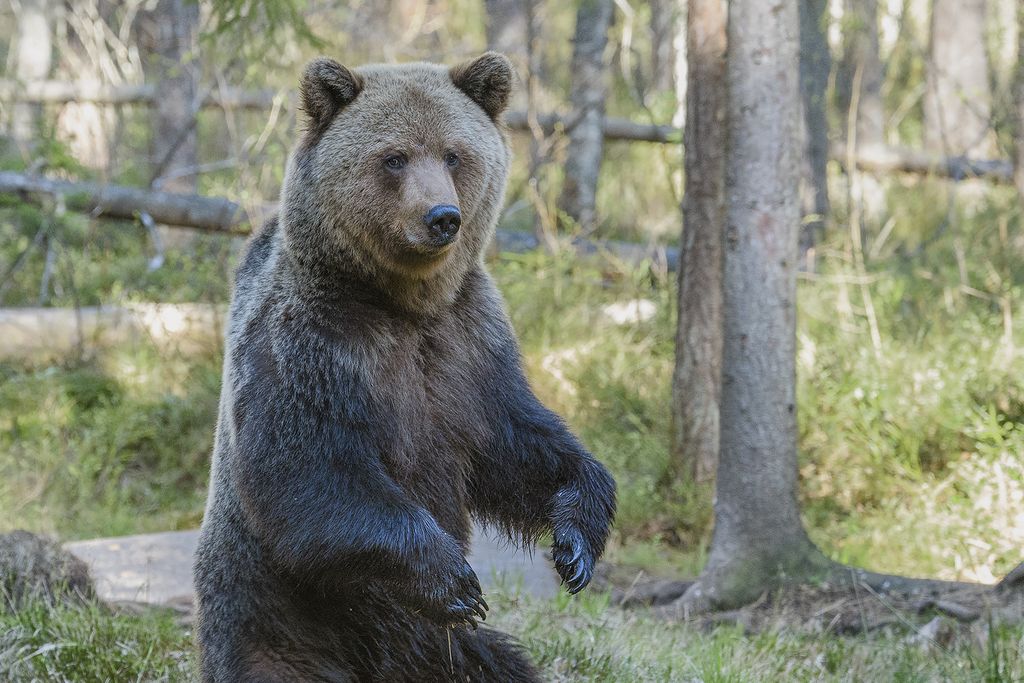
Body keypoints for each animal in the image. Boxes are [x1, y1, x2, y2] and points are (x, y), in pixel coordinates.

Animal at [193, 54, 614, 683]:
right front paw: (454, 580)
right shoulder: (310, 342)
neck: (403, 302)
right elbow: (307, 471)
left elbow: (518, 441)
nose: (442, 217)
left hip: (447, 653)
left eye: (453, 154)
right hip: (276, 613)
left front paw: (575, 544)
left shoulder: (469, 341)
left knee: (501, 665)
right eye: (394, 157)